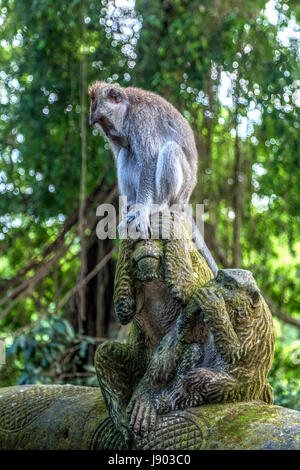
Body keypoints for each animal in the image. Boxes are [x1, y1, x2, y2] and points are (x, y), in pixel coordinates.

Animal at [88, 80, 218, 272]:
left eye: (104, 120)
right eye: (99, 123)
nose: (108, 134)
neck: (128, 108)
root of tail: (185, 199)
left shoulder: (142, 120)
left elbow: (149, 160)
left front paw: (142, 211)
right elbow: (124, 152)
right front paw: (133, 209)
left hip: (182, 188)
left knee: (170, 150)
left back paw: (159, 204)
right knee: (126, 153)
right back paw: (132, 203)